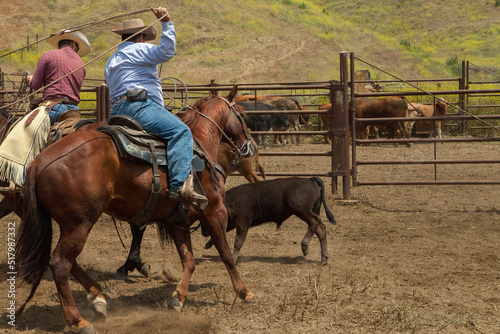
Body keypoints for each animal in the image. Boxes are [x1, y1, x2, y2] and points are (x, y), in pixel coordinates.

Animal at [14, 92, 258, 334]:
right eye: (242, 114)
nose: (251, 145)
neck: (201, 143)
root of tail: (38, 162)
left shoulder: (177, 222)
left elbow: (189, 260)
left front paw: (177, 299)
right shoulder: (215, 212)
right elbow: (226, 255)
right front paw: (244, 292)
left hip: (68, 225)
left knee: (65, 260)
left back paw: (98, 298)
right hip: (79, 223)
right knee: (60, 263)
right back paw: (78, 321)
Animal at [203, 176, 336, 264]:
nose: (204, 233)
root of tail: (310, 179)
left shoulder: (242, 224)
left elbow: (238, 242)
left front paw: (234, 259)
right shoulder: (231, 224)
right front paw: (207, 244)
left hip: (302, 211)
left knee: (315, 222)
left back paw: (305, 247)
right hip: (309, 212)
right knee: (320, 229)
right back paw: (324, 258)